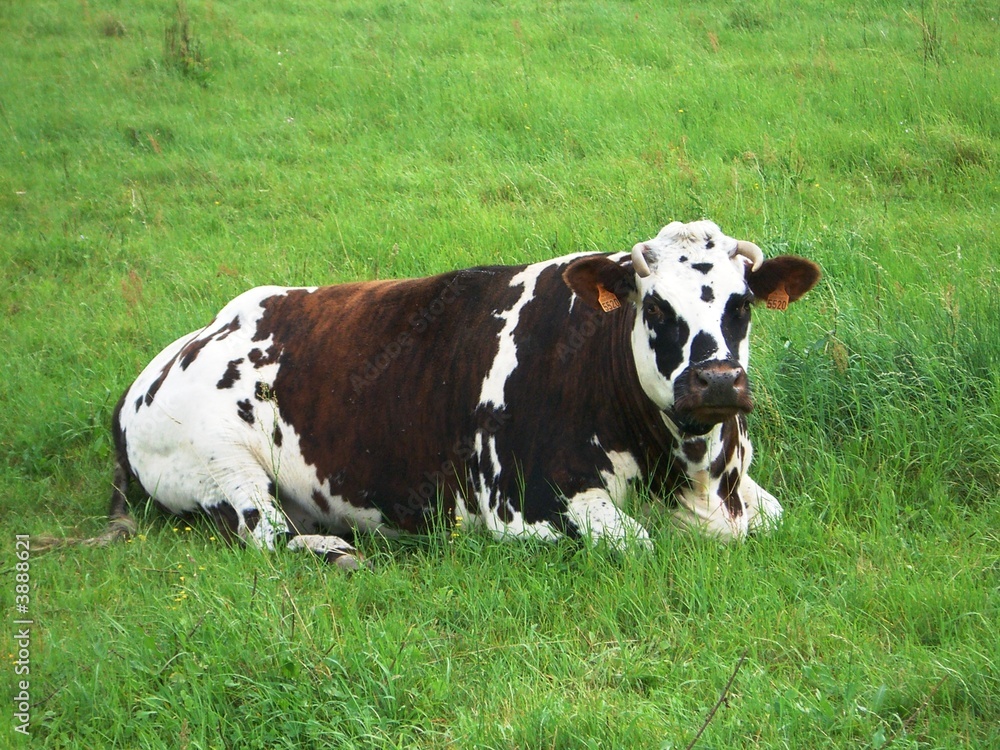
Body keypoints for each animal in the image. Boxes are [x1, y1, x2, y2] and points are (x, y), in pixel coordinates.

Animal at [94, 220, 816, 568]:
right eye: (656, 307)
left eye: (743, 303)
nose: (716, 380)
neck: (696, 481)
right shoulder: (523, 504)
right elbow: (632, 543)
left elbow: (778, 515)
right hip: (222, 466)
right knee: (266, 534)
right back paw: (335, 554)